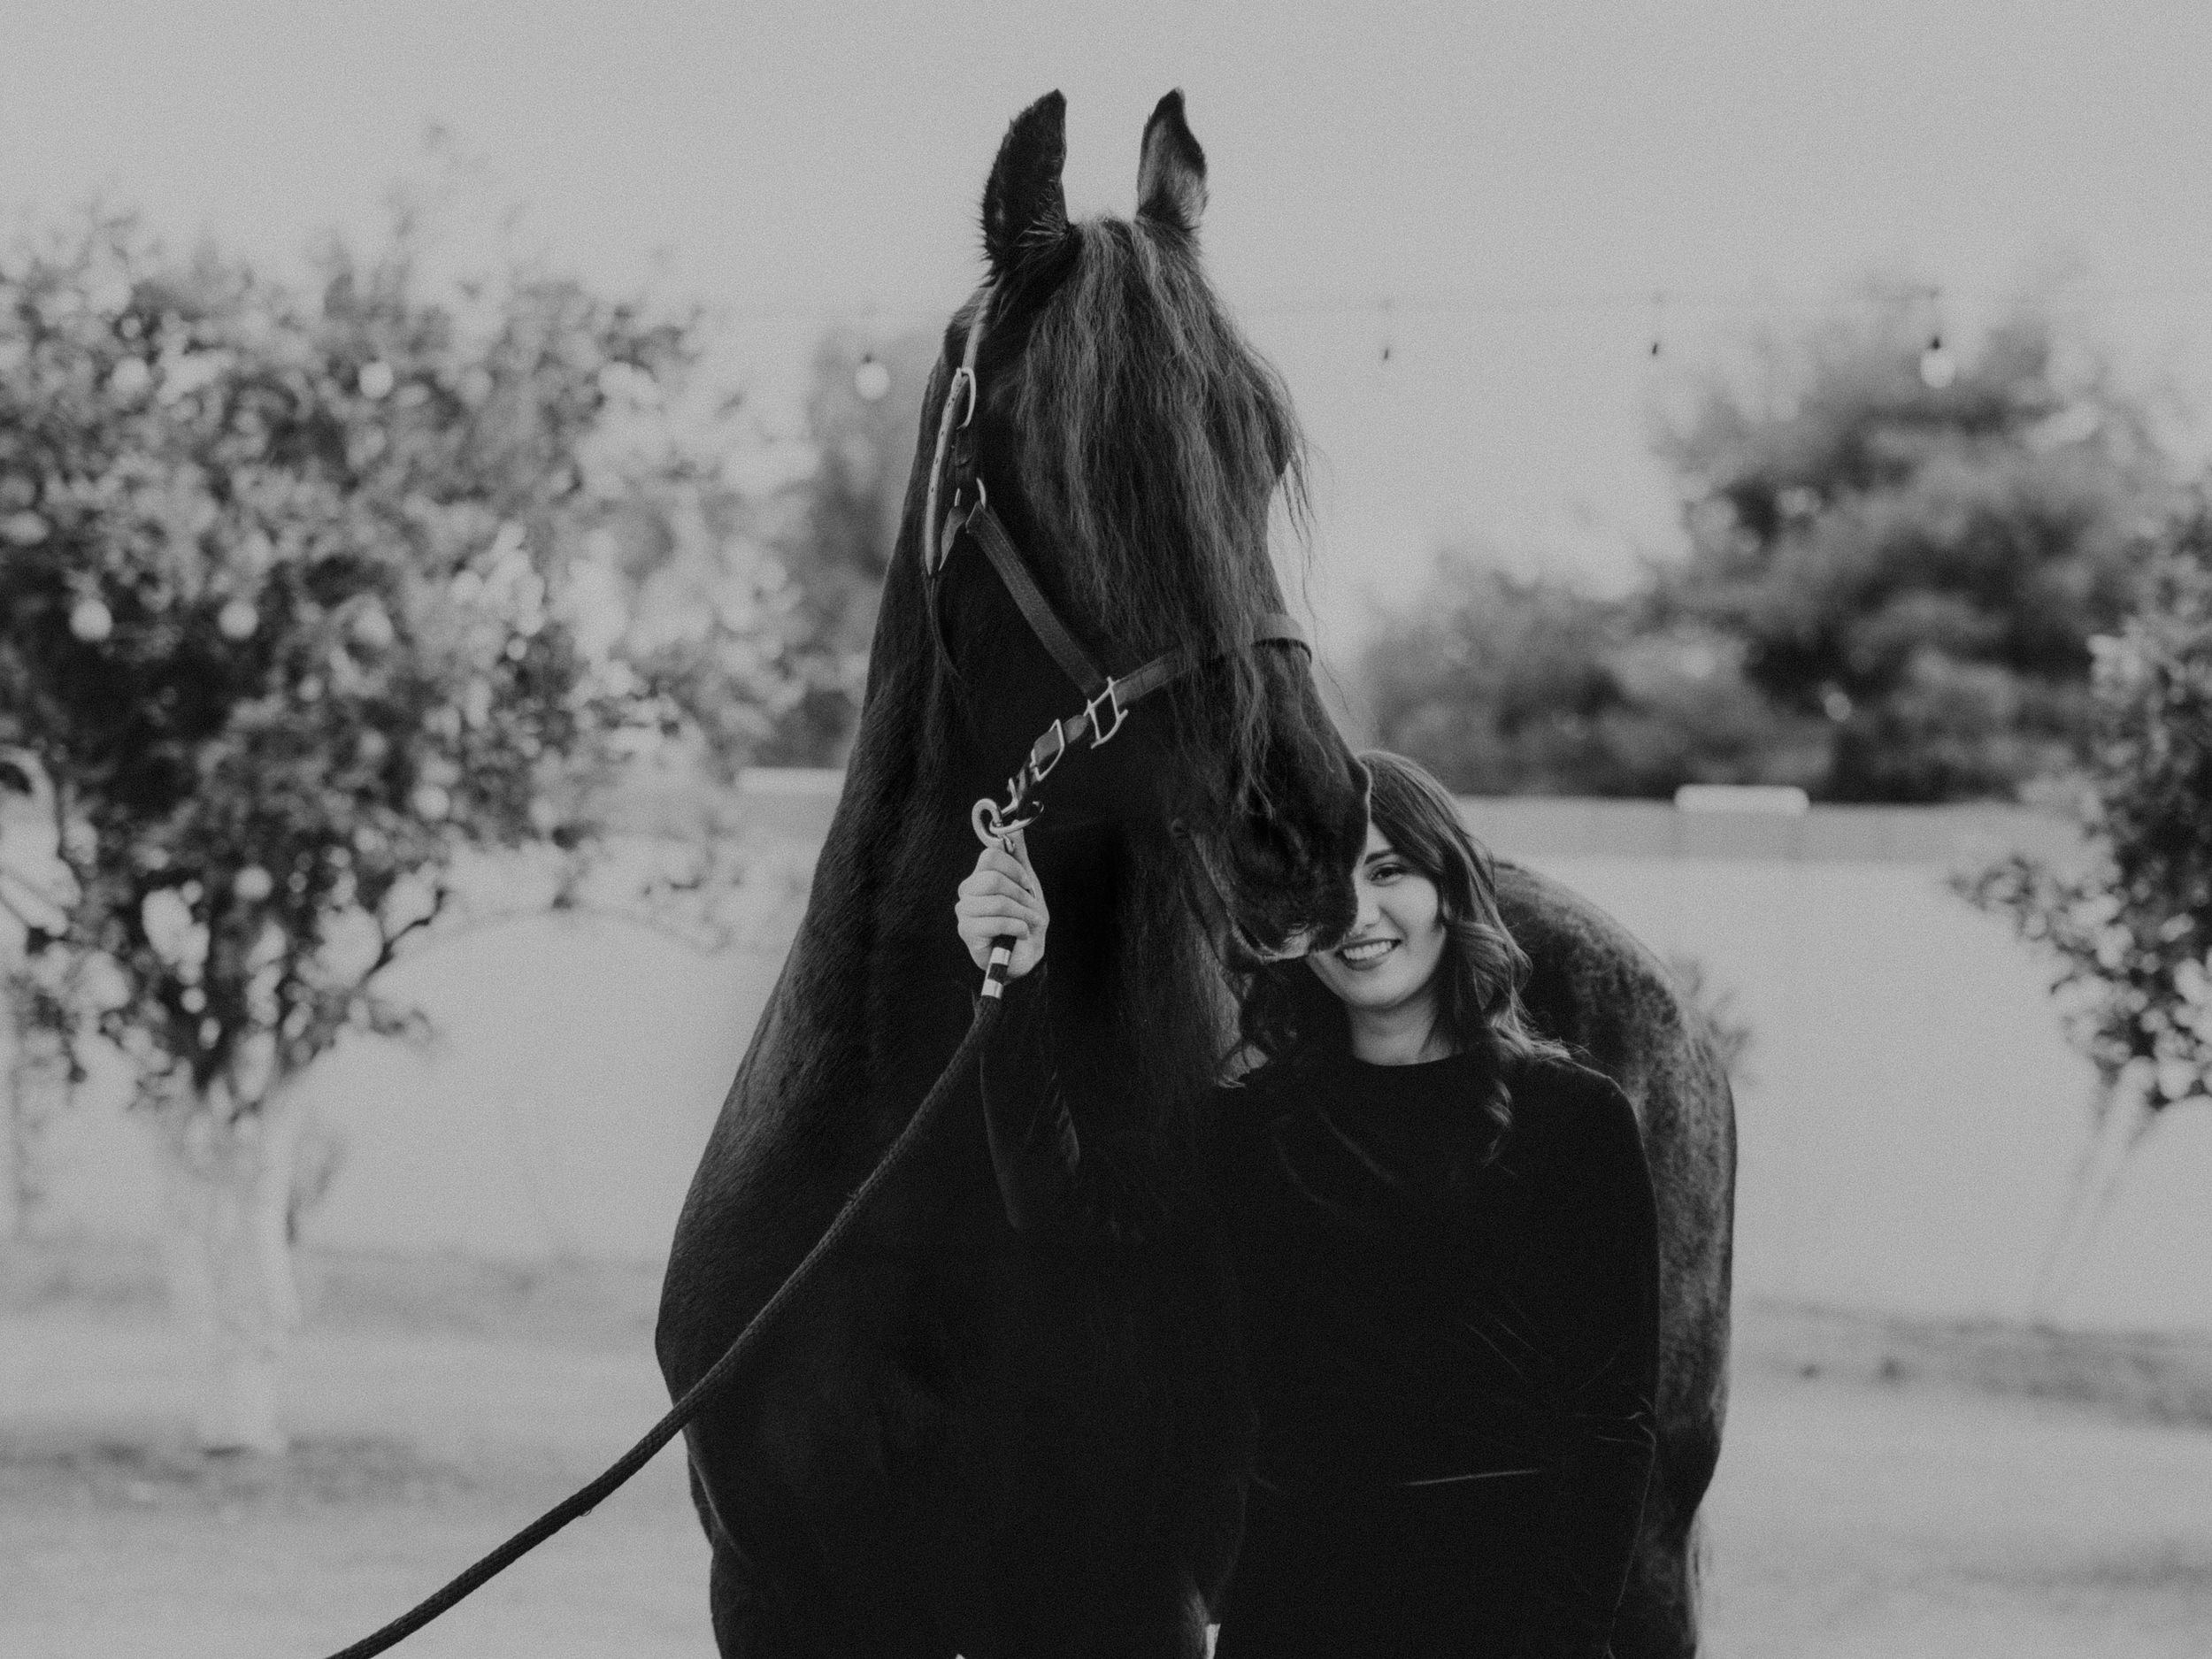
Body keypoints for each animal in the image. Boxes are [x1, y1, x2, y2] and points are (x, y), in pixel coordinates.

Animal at [658, 91, 1734, 1659]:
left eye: (1264, 438)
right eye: (1061, 444)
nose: (1303, 819)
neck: (910, 1161)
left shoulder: (1124, 1597)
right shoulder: (778, 1593)